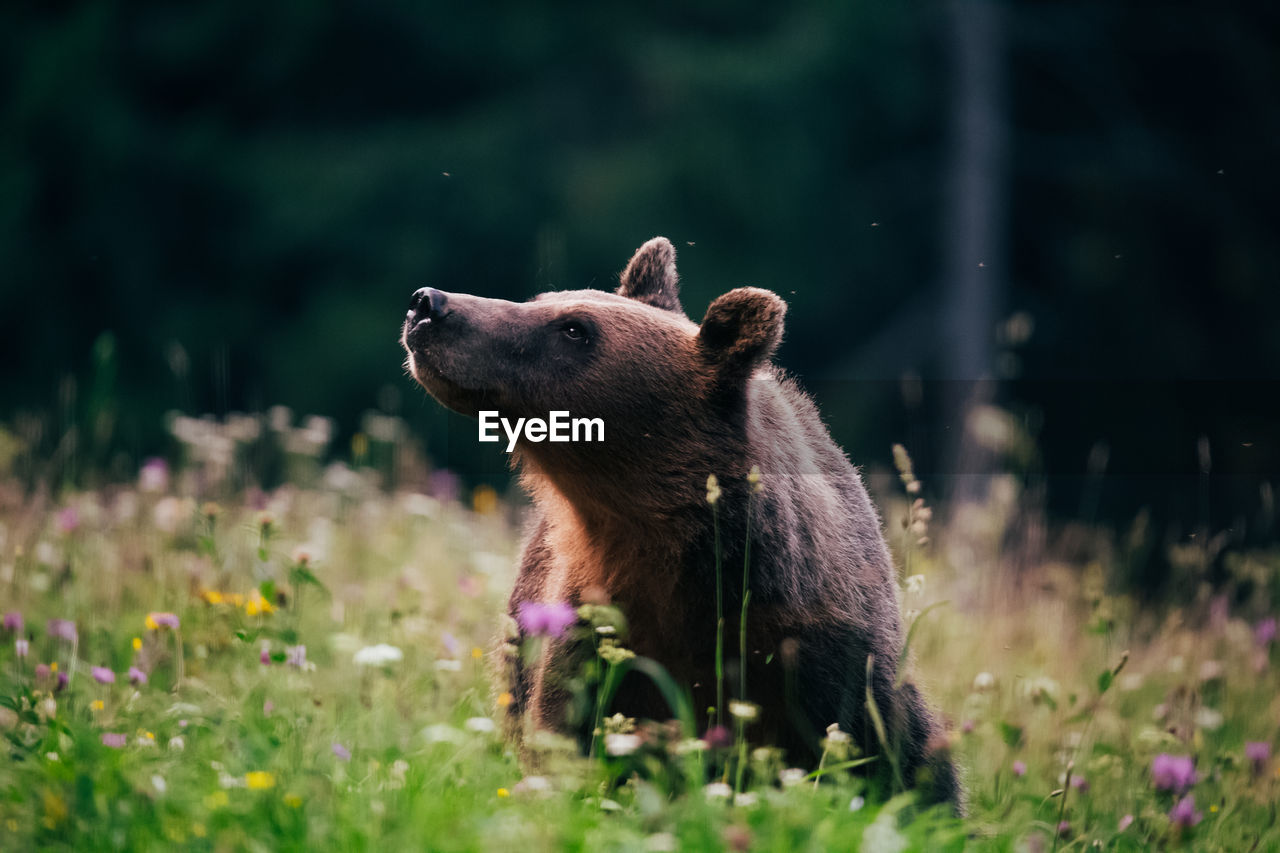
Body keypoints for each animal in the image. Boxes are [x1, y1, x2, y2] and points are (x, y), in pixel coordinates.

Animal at [399, 234, 962, 804]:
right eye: (540, 299)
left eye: (575, 328)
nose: (429, 304)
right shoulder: (596, 637)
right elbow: (572, 740)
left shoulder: (826, 658)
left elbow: (893, 763)